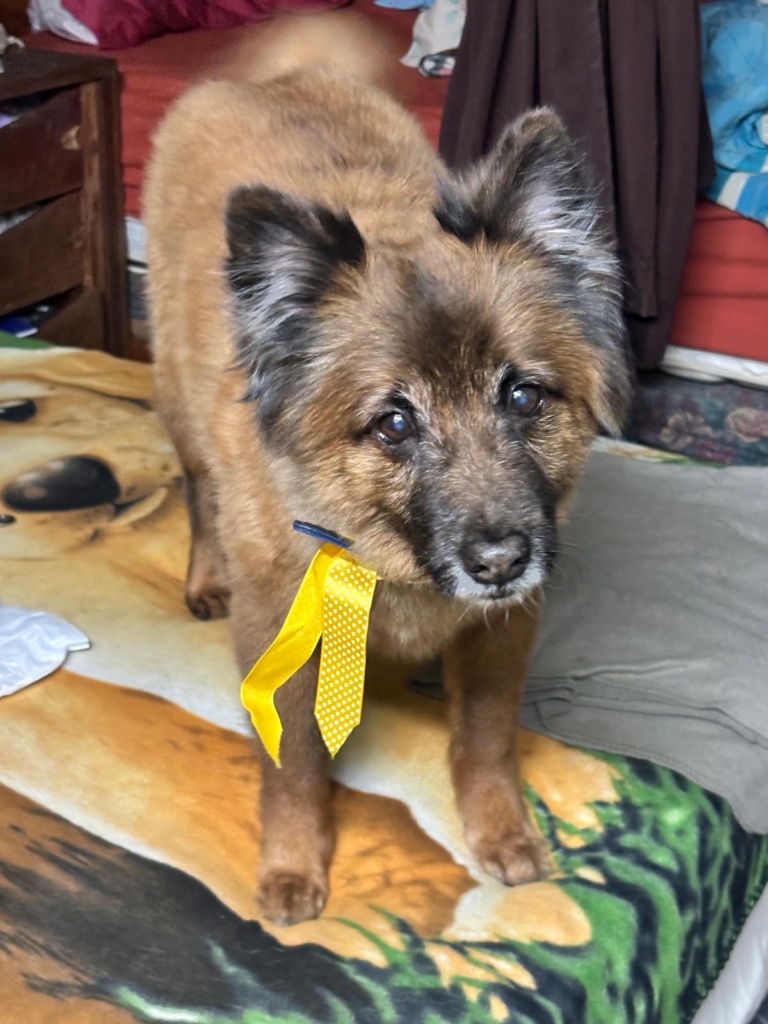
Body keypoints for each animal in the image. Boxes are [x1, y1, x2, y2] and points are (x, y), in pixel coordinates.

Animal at [144, 9, 631, 927]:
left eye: (524, 396)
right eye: (394, 423)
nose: (502, 561)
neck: (388, 558)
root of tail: (273, 81)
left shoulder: (504, 632)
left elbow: (487, 743)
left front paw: (501, 835)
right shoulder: (278, 646)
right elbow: (295, 766)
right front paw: (293, 867)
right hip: (180, 411)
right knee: (196, 491)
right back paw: (204, 573)